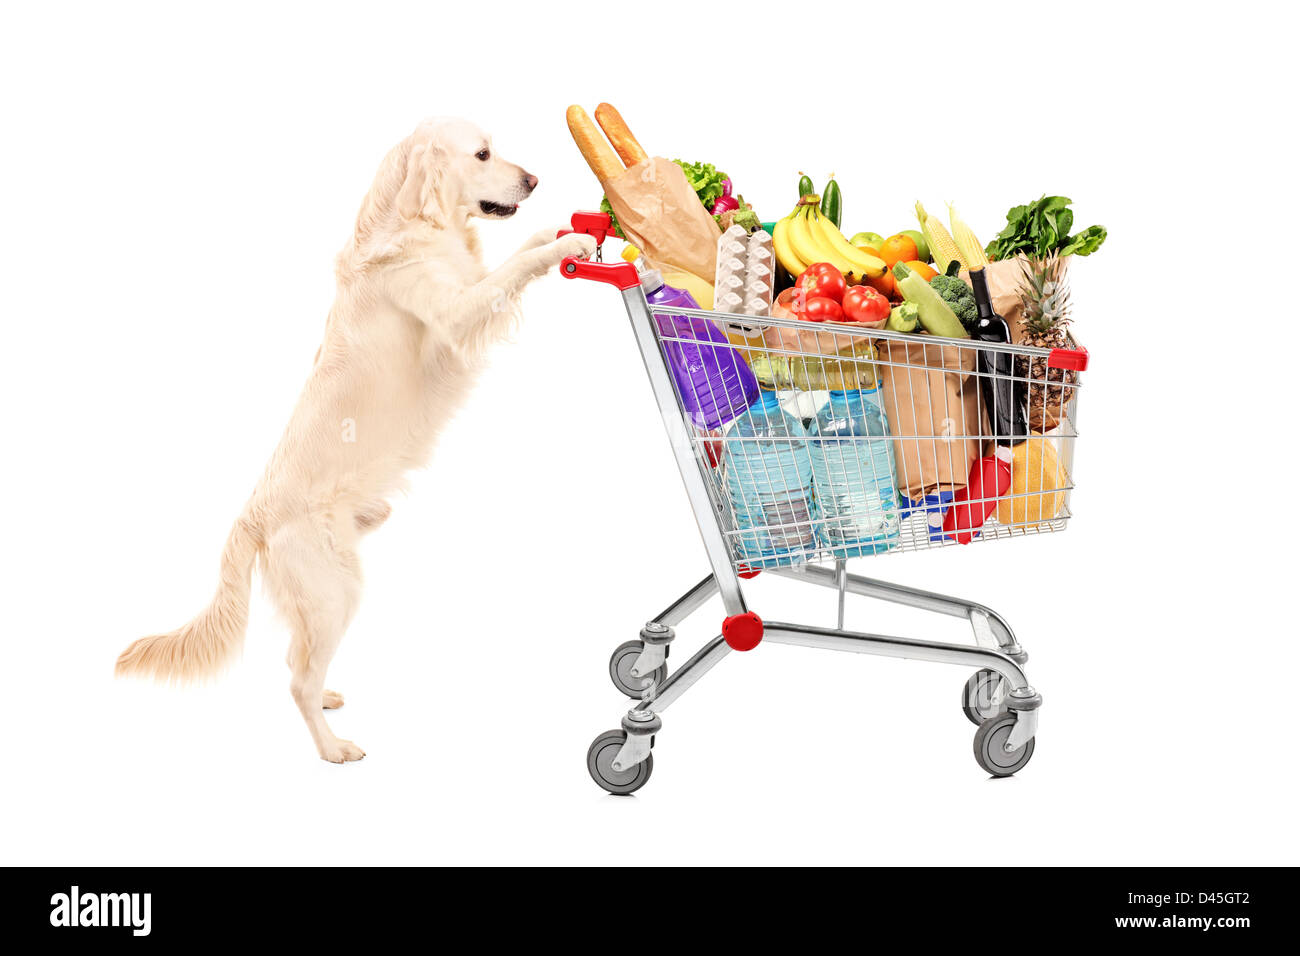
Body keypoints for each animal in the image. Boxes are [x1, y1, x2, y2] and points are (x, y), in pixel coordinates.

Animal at [114, 119, 595, 764]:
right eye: (482, 154)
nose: (535, 180)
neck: (414, 222)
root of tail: (250, 518)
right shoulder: (457, 311)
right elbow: (513, 272)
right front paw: (564, 248)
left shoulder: (469, 283)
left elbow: (514, 255)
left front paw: (561, 231)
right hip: (334, 590)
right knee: (296, 678)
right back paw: (333, 748)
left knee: (297, 661)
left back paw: (328, 700)